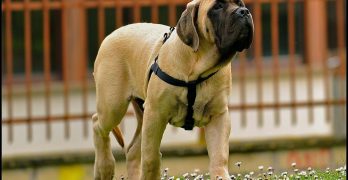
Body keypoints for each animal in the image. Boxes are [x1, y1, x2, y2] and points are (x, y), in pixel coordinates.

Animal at [92, 0, 254, 179]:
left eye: (240, 3)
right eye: (217, 7)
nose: (244, 11)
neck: (197, 67)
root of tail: (111, 34)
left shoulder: (219, 115)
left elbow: (219, 156)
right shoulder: (155, 114)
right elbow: (151, 157)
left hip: (140, 112)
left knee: (133, 148)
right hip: (113, 106)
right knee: (97, 124)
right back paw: (105, 167)